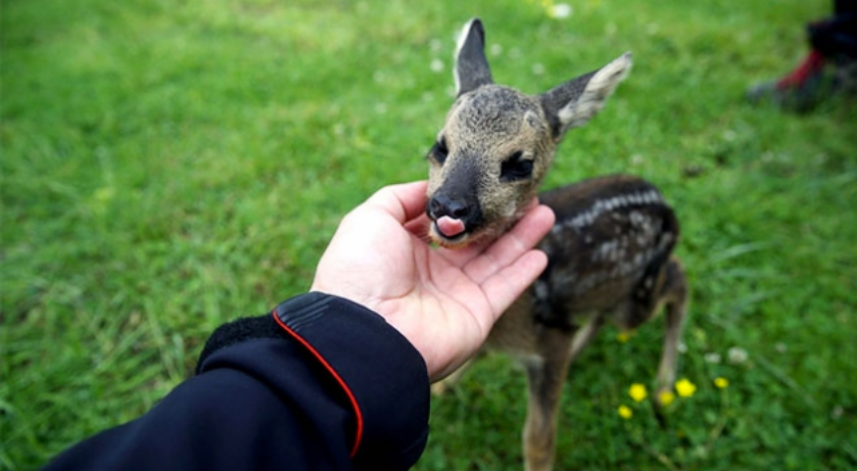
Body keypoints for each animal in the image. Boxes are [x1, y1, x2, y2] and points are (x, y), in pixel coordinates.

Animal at [426, 18, 688, 471]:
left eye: (519, 164)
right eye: (440, 146)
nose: (448, 206)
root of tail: (664, 203)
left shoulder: (547, 347)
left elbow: (538, 440)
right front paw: (441, 389)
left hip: (635, 301)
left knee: (678, 277)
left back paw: (663, 387)